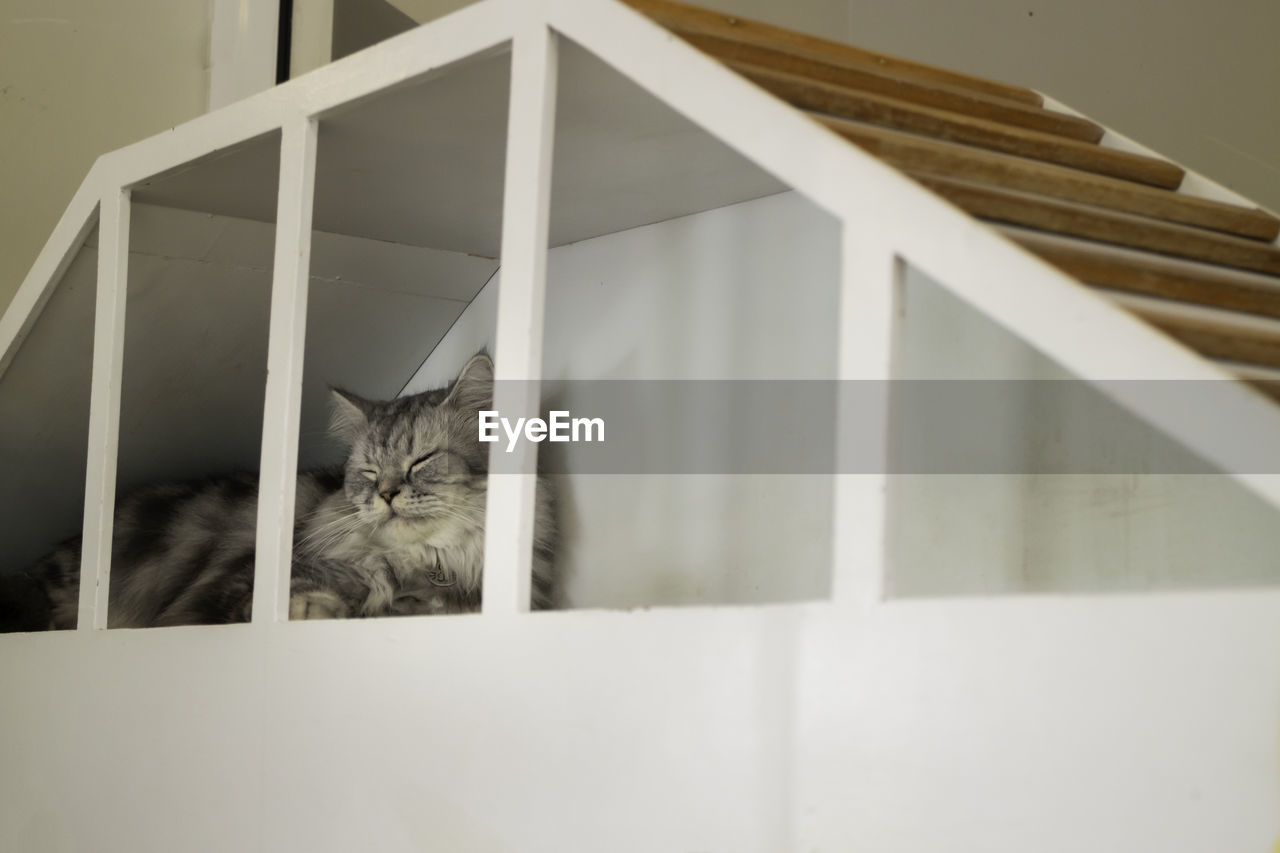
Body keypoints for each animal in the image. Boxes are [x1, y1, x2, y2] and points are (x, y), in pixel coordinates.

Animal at [2, 348, 558, 627]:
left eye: (421, 460)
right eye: (368, 473)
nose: (385, 494)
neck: (423, 567)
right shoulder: (239, 587)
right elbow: (287, 602)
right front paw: (319, 609)